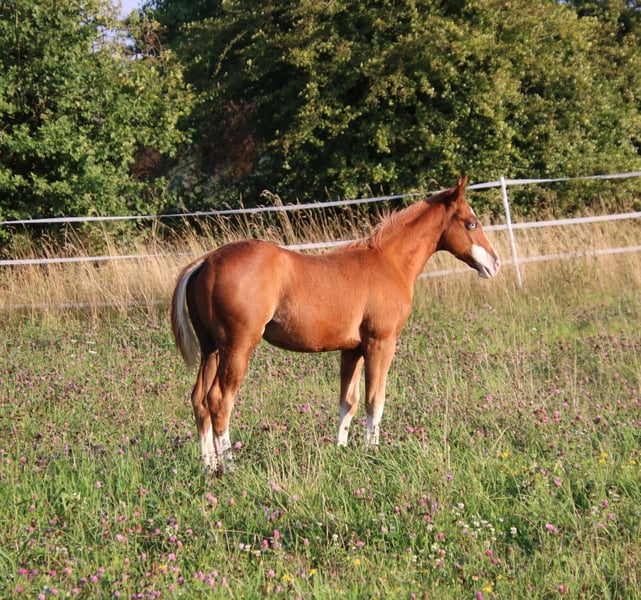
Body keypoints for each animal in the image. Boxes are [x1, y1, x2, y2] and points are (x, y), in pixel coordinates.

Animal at [171, 177, 500, 475]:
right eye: (471, 223)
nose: (494, 264)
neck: (389, 262)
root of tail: (207, 261)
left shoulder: (352, 350)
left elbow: (348, 401)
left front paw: (341, 451)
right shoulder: (380, 342)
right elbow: (374, 399)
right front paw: (371, 452)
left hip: (212, 350)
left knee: (199, 400)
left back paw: (208, 467)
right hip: (238, 347)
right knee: (219, 401)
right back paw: (229, 467)